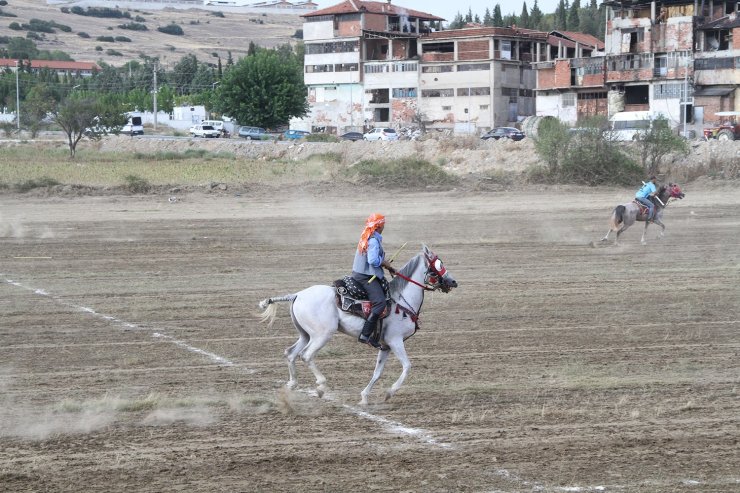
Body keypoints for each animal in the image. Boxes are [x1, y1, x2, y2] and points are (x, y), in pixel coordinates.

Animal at [260, 244, 456, 406]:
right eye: (439, 264)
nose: (453, 282)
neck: (401, 300)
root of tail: (297, 295)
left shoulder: (385, 346)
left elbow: (377, 372)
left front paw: (364, 397)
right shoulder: (395, 341)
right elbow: (407, 366)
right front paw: (389, 392)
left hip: (305, 334)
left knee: (290, 353)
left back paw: (292, 385)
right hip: (322, 335)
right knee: (306, 355)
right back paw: (321, 386)